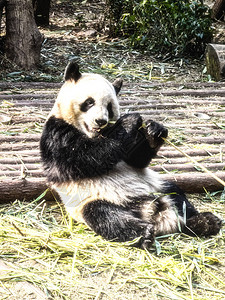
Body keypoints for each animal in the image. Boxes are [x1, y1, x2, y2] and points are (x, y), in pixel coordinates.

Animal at [40, 61, 221, 248]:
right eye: (89, 102)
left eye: (109, 107)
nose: (101, 121)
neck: (93, 134)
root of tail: (150, 210)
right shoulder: (56, 134)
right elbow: (82, 159)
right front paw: (129, 121)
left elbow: (136, 161)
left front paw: (154, 130)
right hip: (92, 200)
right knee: (107, 217)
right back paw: (143, 234)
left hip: (157, 186)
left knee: (178, 197)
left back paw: (205, 222)